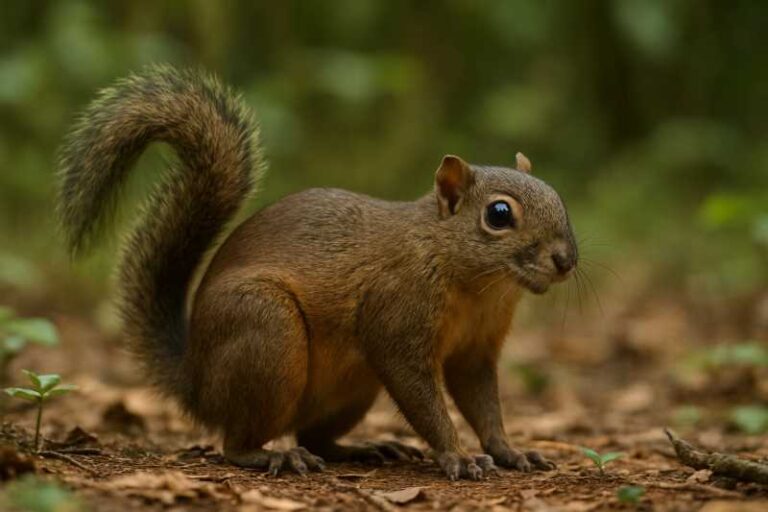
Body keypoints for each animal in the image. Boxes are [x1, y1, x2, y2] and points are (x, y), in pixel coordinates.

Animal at [57, 66, 577, 481]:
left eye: (557, 194)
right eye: (498, 214)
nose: (566, 260)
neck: (478, 286)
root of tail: (196, 382)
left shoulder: (475, 352)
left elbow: (483, 404)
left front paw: (510, 451)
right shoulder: (397, 314)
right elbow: (424, 399)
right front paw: (458, 456)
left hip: (352, 389)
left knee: (312, 435)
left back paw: (363, 447)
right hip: (268, 335)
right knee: (237, 441)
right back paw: (272, 456)